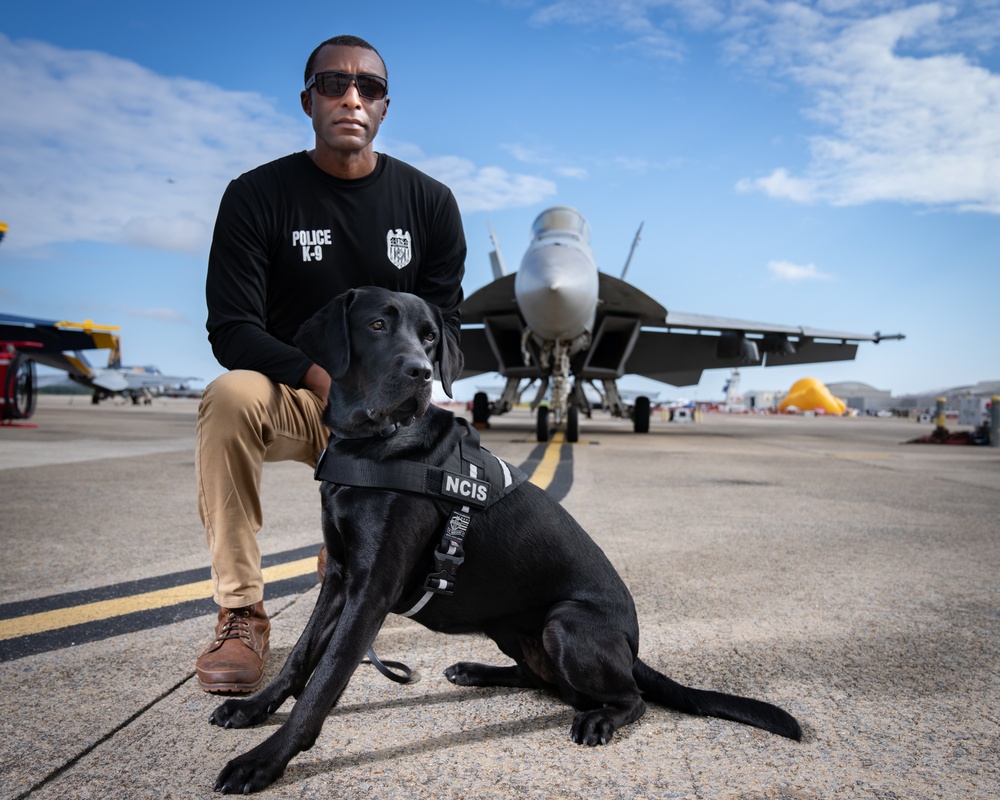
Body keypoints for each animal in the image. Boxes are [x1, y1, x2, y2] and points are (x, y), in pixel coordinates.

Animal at [207, 288, 800, 792]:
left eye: (430, 338)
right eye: (376, 325)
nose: (421, 373)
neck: (375, 447)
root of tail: (632, 650)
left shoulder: (369, 591)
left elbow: (325, 680)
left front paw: (264, 761)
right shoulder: (338, 576)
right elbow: (301, 657)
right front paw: (253, 709)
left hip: (566, 625)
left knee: (628, 698)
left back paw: (600, 719)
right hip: (510, 629)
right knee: (544, 682)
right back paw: (475, 670)